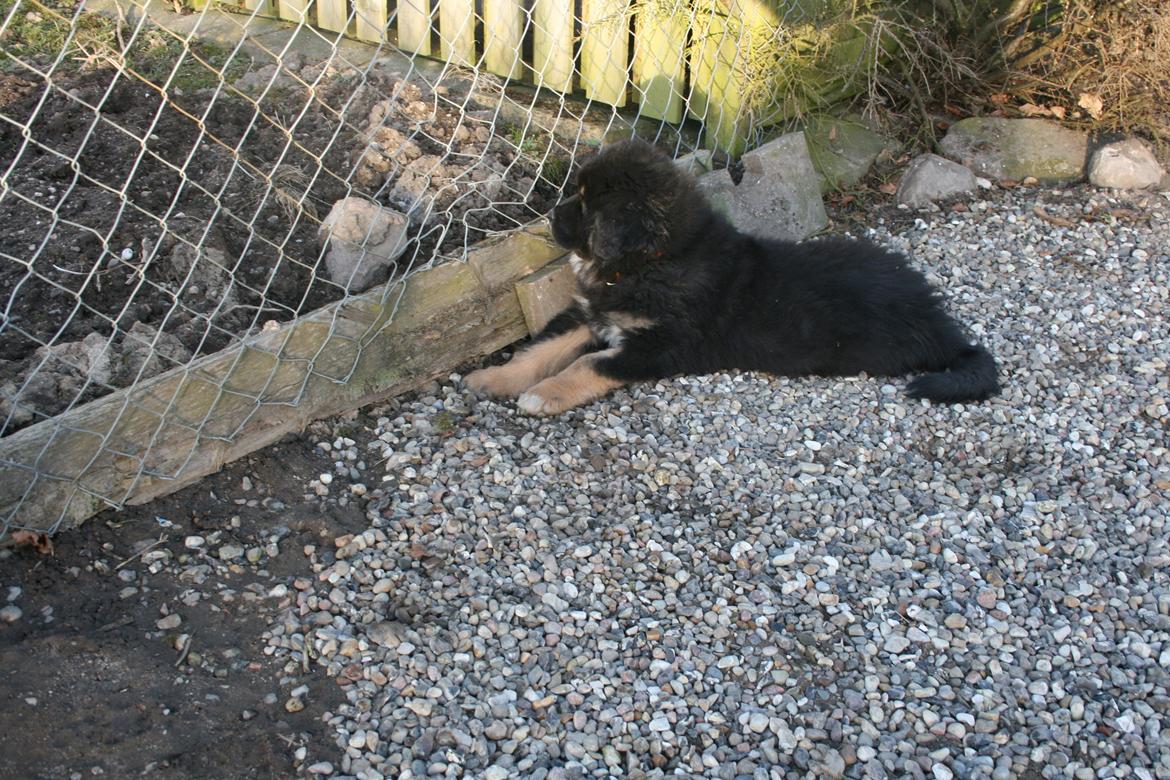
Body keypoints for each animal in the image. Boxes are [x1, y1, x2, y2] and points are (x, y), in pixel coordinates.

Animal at [465, 139, 996, 413]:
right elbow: (539, 351)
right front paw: (493, 378)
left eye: (585, 203)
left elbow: (586, 365)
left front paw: (542, 395)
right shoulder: (590, 314)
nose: (549, 216)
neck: (651, 261)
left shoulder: (662, 345)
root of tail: (941, 323)